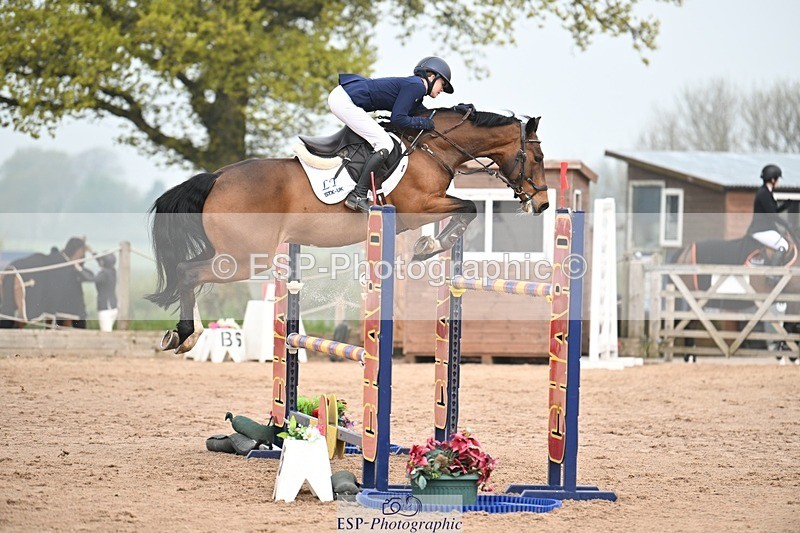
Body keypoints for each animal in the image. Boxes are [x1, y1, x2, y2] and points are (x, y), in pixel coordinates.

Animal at [147, 107, 550, 354]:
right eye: (537, 157)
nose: (543, 203)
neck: (432, 148)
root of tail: (216, 178)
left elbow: (464, 210)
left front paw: (428, 244)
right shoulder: (418, 206)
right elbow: (468, 208)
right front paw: (430, 246)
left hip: (227, 252)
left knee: (187, 273)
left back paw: (182, 334)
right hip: (243, 259)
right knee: (187, 272)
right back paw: (186, 336)